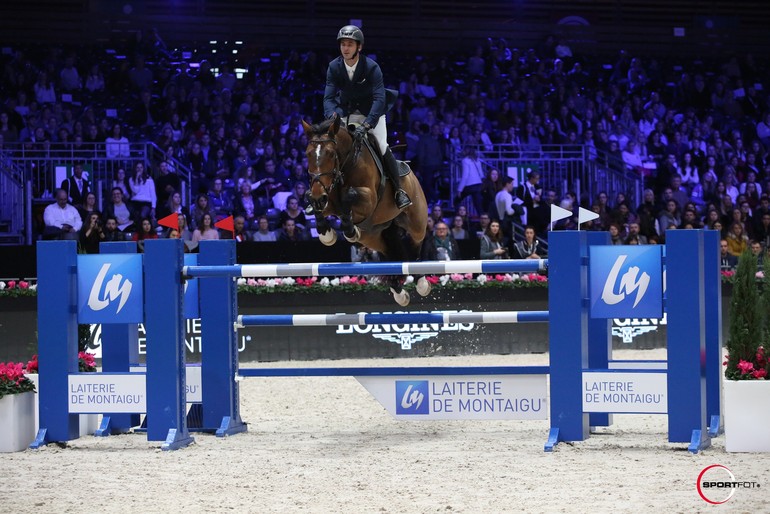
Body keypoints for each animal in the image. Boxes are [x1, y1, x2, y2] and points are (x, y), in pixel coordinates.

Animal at [302, 115, 432, 304]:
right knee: (389, 255)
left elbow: (349, 196)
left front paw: (348, 230)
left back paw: (421, 282)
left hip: (416, 222)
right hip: (373, 236)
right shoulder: (328, 200)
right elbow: (312, 199)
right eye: (308, 154)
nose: (319, 197)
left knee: (416, 244)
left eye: (331, 154)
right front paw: (327, 234)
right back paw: (399, 293)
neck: (346, 165)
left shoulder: (369, 200)